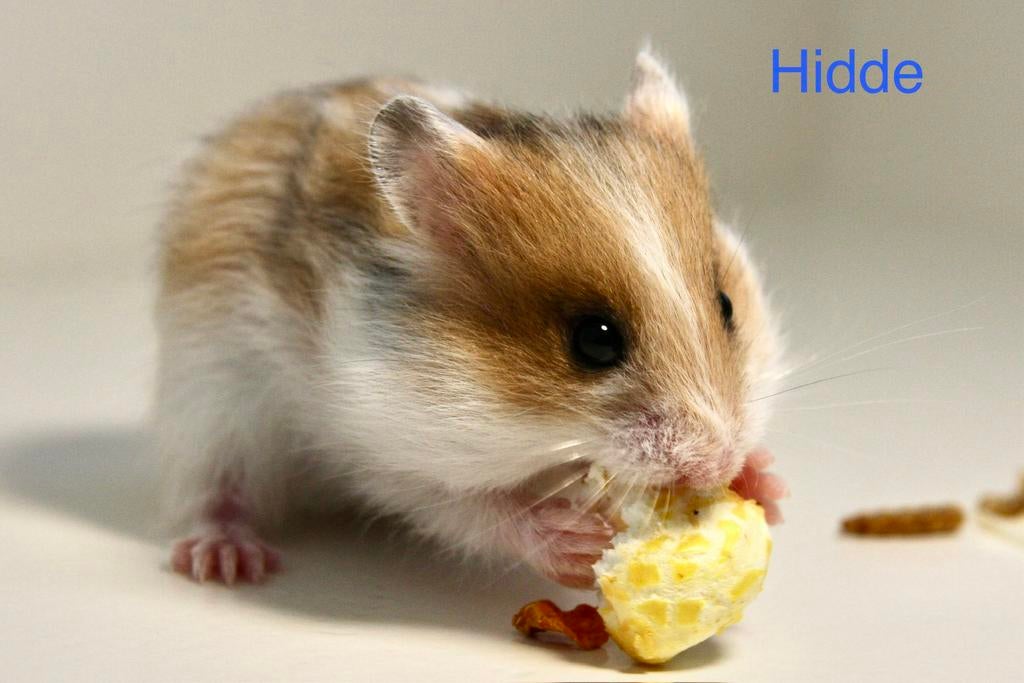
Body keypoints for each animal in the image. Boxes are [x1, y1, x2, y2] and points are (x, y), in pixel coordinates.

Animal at [155, 49, 787, 588]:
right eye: (594, 341)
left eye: (727, 305)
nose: (716, 462)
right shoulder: (378, 444)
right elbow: (468, 506)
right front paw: (577, 545)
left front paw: (767, 485)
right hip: (206, 402)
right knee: (212, 491)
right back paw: (227, 561)